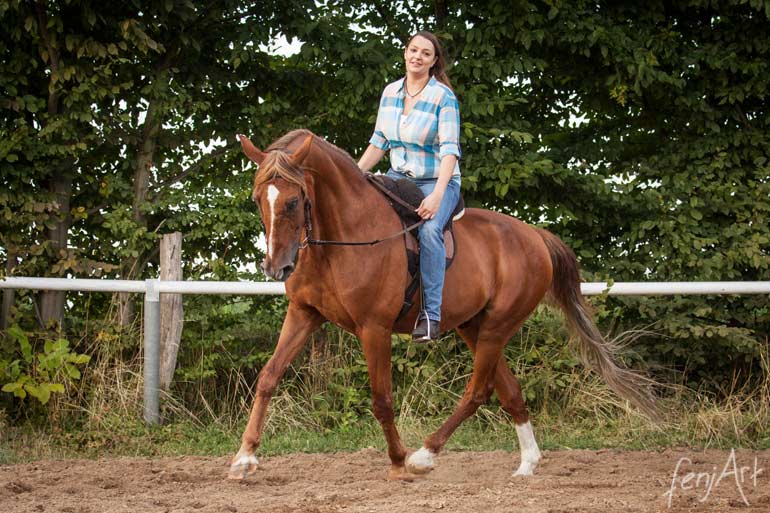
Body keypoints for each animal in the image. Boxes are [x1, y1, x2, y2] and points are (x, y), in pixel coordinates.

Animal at [230, 128, 656, 480]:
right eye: (258, 198)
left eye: (293, 201)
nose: (277, 266)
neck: (343, 236)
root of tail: (535, 235)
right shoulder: (304, 314)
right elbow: (268, 377)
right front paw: (245, 457)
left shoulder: (374, 328)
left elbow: (382, 400)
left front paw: (398, 462)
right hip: (474, 326)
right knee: (508, 389)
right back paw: (527, 463)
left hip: (497, 326)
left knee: (479, 391)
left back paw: (424, 456)